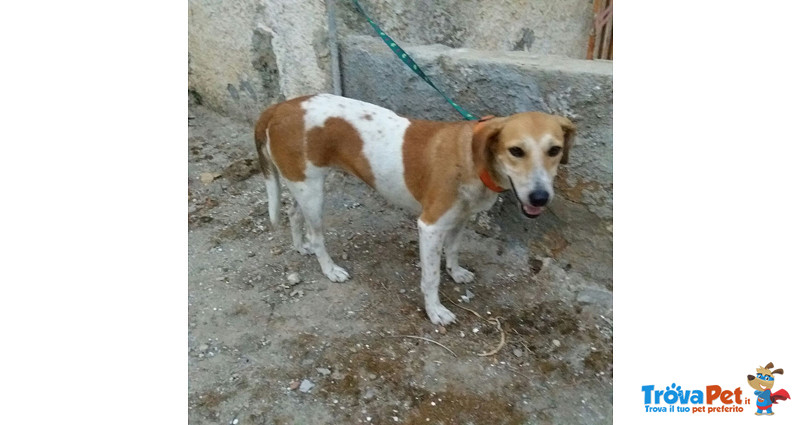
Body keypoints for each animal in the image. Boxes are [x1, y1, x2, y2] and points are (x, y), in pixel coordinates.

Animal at [253, 93, 572, 324]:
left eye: (554, 150)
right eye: (516, 151)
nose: (540, 197)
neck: (472, 157)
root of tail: (281, 107)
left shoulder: (460, 219)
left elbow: (453, 251)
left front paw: (456, 273)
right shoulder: (430, 227)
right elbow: (430, 278)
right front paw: (435, 312)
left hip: (303, 186)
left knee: (293, 213)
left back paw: (300, 247)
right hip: (313, 193)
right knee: (317, 235)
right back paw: (330, 269)